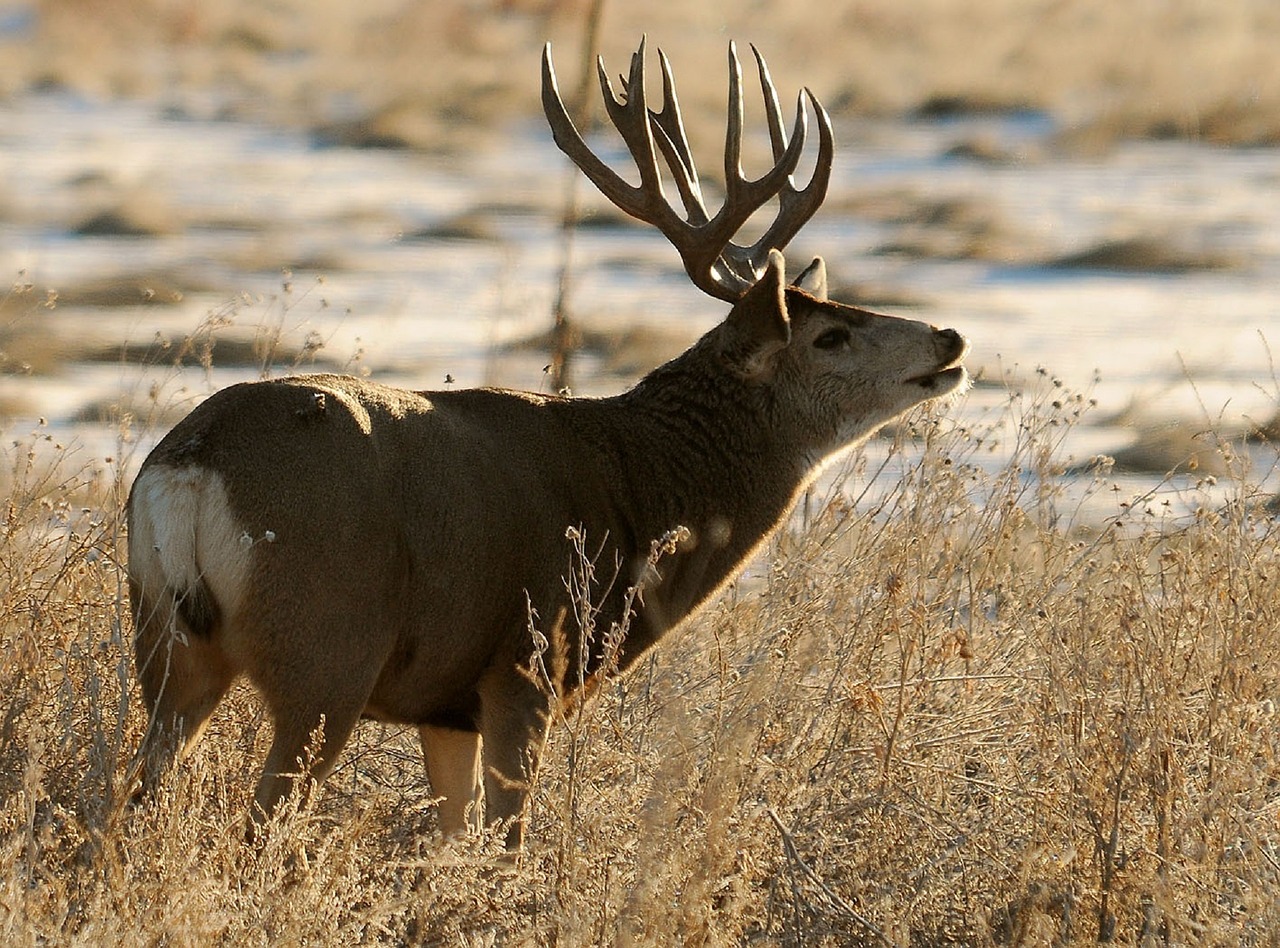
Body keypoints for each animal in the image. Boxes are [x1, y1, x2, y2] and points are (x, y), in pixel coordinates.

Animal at [127, 36, 967, 849]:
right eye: (830, 335)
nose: (949, 336)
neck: (638, 484)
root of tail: (191, 463)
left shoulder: (445, 704)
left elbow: (452, 839)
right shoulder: (525, 665)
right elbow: (504, 844)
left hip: (165, 643)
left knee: (130, 797)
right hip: (326, 649)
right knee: (258, 820)